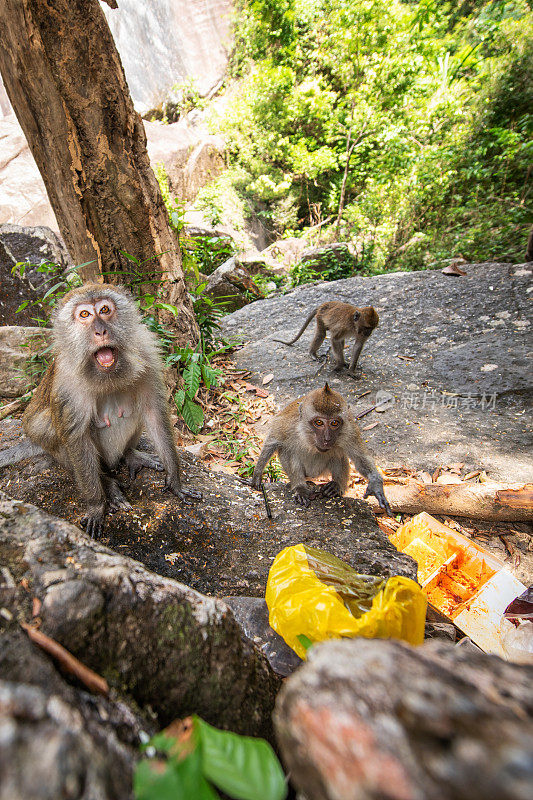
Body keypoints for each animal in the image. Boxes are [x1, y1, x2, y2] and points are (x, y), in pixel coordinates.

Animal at [5, 282, 201, 536]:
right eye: (84, 315)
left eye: (105, 310)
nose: (100, 332)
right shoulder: (67, 382)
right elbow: (76, 437)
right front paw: (97, 507)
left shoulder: (147, 354)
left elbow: (154, 413)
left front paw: (175, 480)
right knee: (48, 427)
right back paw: (107, 484)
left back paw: (130, 455)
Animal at [249, 382, 390, 512]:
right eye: (319, 422)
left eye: (334, 423)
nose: (327, 438)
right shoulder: (288, 424)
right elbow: (273, 441)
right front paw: (257, 475)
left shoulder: (350, 431)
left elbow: (360, 458)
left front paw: (376, 484)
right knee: (288, 451)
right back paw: (300, 487)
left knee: (339, 455)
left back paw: (335, 486)